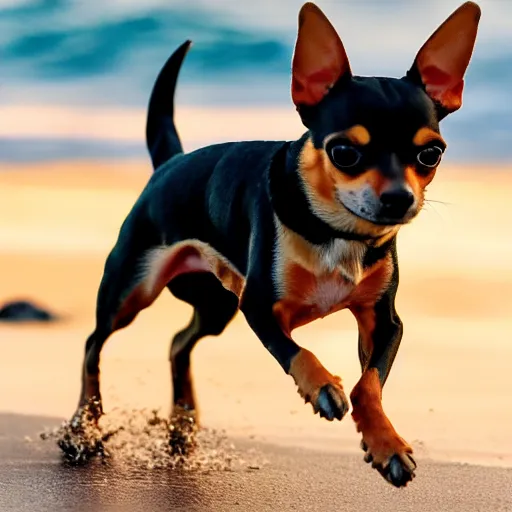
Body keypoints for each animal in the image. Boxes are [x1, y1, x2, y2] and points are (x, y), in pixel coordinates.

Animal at [68, 2, 480, 486]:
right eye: (344, 152)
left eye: (431, 155)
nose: (400, 198)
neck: (335, 231)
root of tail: (171, 160)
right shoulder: (259, 308)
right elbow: (297, 352)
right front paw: (322, 387)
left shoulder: (383, 321)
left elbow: (370, 384)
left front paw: (386, 444)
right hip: (132, 291)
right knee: (93, 344)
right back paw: (84, 429)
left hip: (216, 306)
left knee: (178, 343)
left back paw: (182, 424)